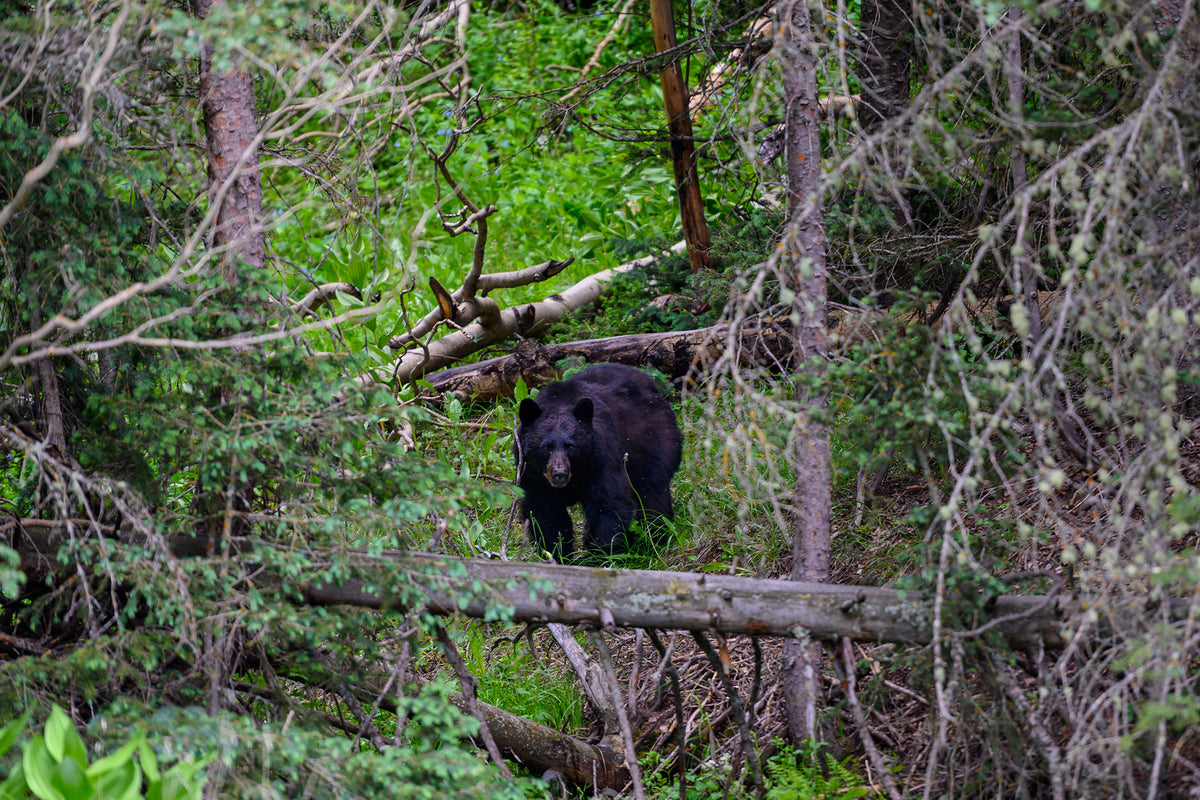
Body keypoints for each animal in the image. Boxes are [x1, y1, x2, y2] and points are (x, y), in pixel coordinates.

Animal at [514, 363, 682, 561]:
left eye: (571, 446)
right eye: (546, 447)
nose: (559, 474)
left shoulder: (602, 462)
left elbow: (609, 506)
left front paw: (603, 555)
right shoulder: (533, 477)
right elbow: (545, 514)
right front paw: (558, 554)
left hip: (654, 442)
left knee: (652, 492)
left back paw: (655, 535)